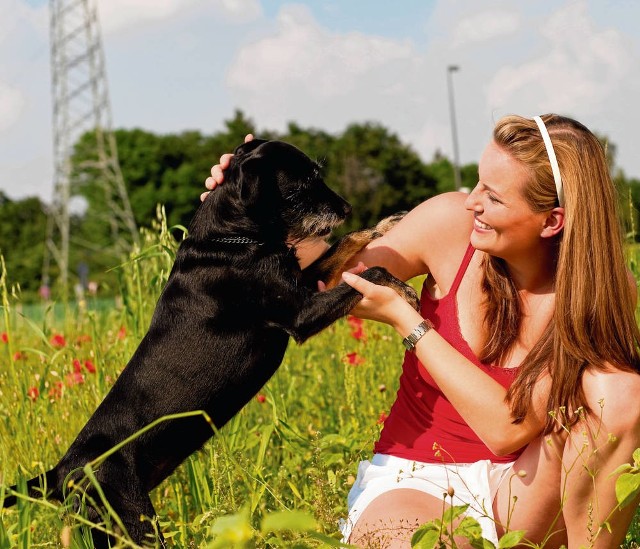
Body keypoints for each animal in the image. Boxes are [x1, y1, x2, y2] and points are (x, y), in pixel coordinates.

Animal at [2, 138, 418, 544]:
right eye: (302, 185)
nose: (347, 207)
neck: (233, 239)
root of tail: (61, 472)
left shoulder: (306, 282)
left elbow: (344, 243)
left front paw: (385, 225)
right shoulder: (299, 315)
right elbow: (372, 273)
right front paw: (404, 292)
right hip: (136, 524)